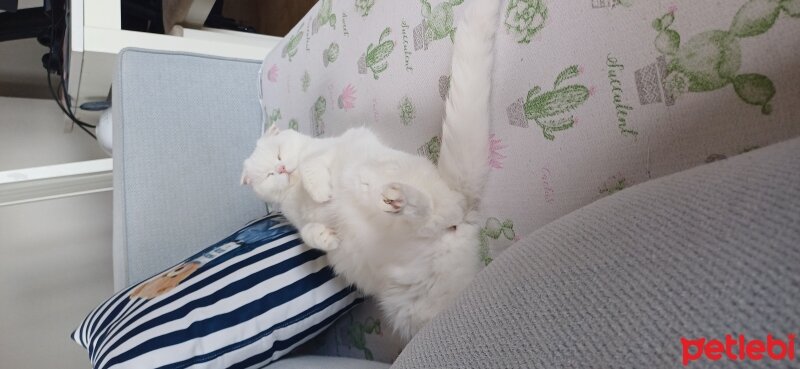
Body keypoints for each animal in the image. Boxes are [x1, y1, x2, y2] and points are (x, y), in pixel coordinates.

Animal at [241, 0, 496, 340]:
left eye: (279, 153)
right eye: (269, 174)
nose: (282, 168)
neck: (293, 189)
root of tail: (464, 210)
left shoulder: (330, 150)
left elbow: (309, 165)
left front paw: (320, 192)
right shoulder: (300, 222)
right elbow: (309, 234)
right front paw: (327, 238)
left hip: (373, 175)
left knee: (429, 211)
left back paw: (400, 199)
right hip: (416, 311)